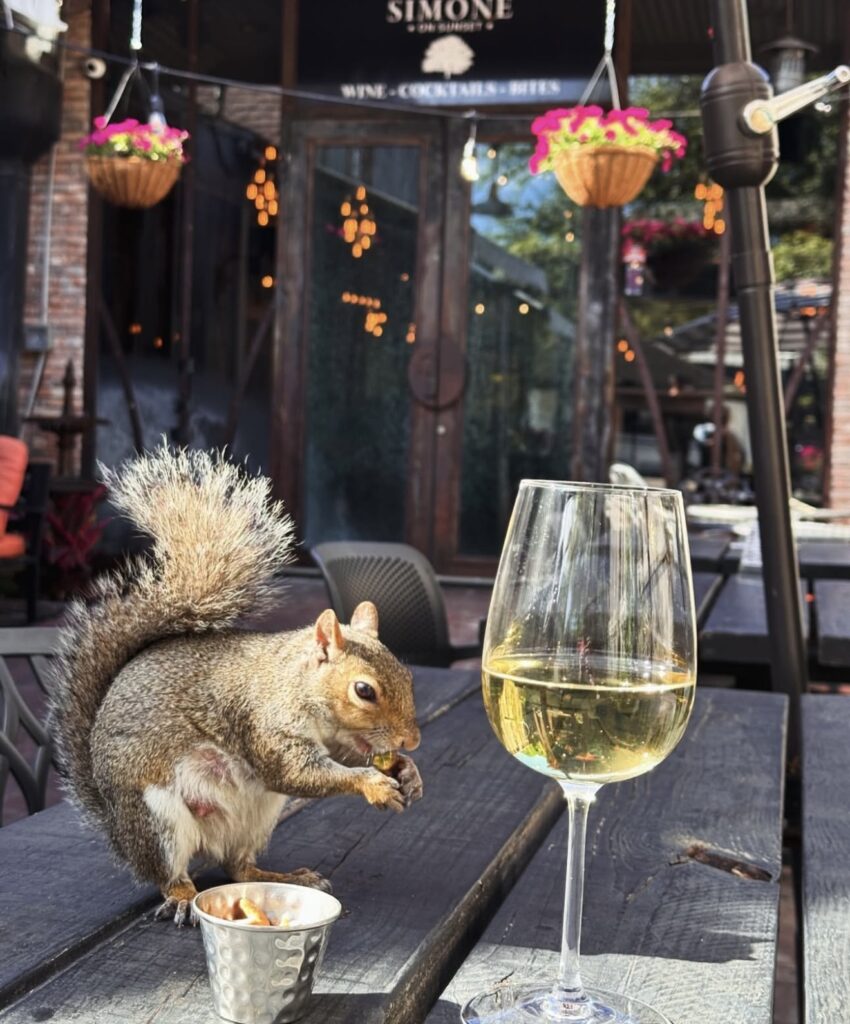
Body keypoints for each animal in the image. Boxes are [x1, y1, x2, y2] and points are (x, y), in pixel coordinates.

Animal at [48, 444, 423, 925]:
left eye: (408, 675)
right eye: (364, 691)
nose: (411, 740)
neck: (295, 684)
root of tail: (115, 827)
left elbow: (334, 760)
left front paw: (409, 773)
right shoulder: (263, 722)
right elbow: (294, 772)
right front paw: (372, 784)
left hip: (257, 818)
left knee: (239, 866)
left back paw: (285, 877)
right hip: (157, 819)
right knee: (170, 872)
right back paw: (183, 896)